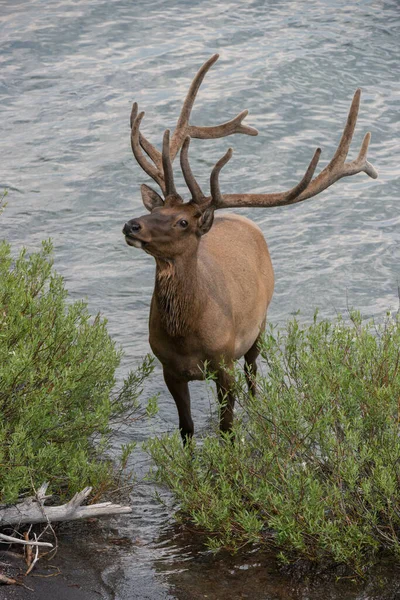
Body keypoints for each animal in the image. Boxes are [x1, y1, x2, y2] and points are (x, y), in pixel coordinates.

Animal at [122, 54, 378, 442]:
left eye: (182, 222)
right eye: (156, 209)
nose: (132, 225)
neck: (187, 337)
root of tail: (242, 219)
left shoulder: (223, 362)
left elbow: (227, 427)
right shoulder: (168, 367)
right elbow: (186, 430)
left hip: (259, 324)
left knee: (254, 373)